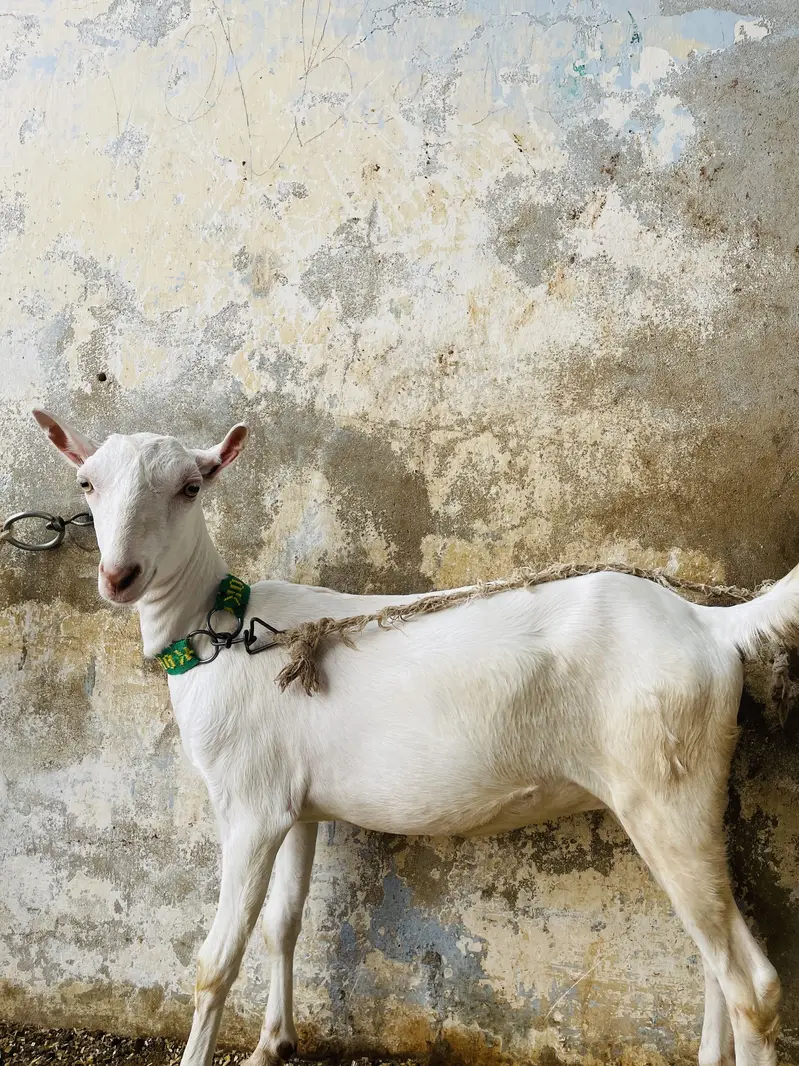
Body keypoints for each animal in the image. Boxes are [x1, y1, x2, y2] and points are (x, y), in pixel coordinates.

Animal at [32, 409, 791, 1066]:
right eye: (87, 484)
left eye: (191, 487)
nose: (119, 577)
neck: (219, 631)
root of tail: (710, 625)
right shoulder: (294, 802)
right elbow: (284, 920)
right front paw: (272, 1045)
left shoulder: (247, 803)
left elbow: (216, 961)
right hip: (687, 785)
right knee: (711, 952)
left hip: (662, 781)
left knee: (750, 982)